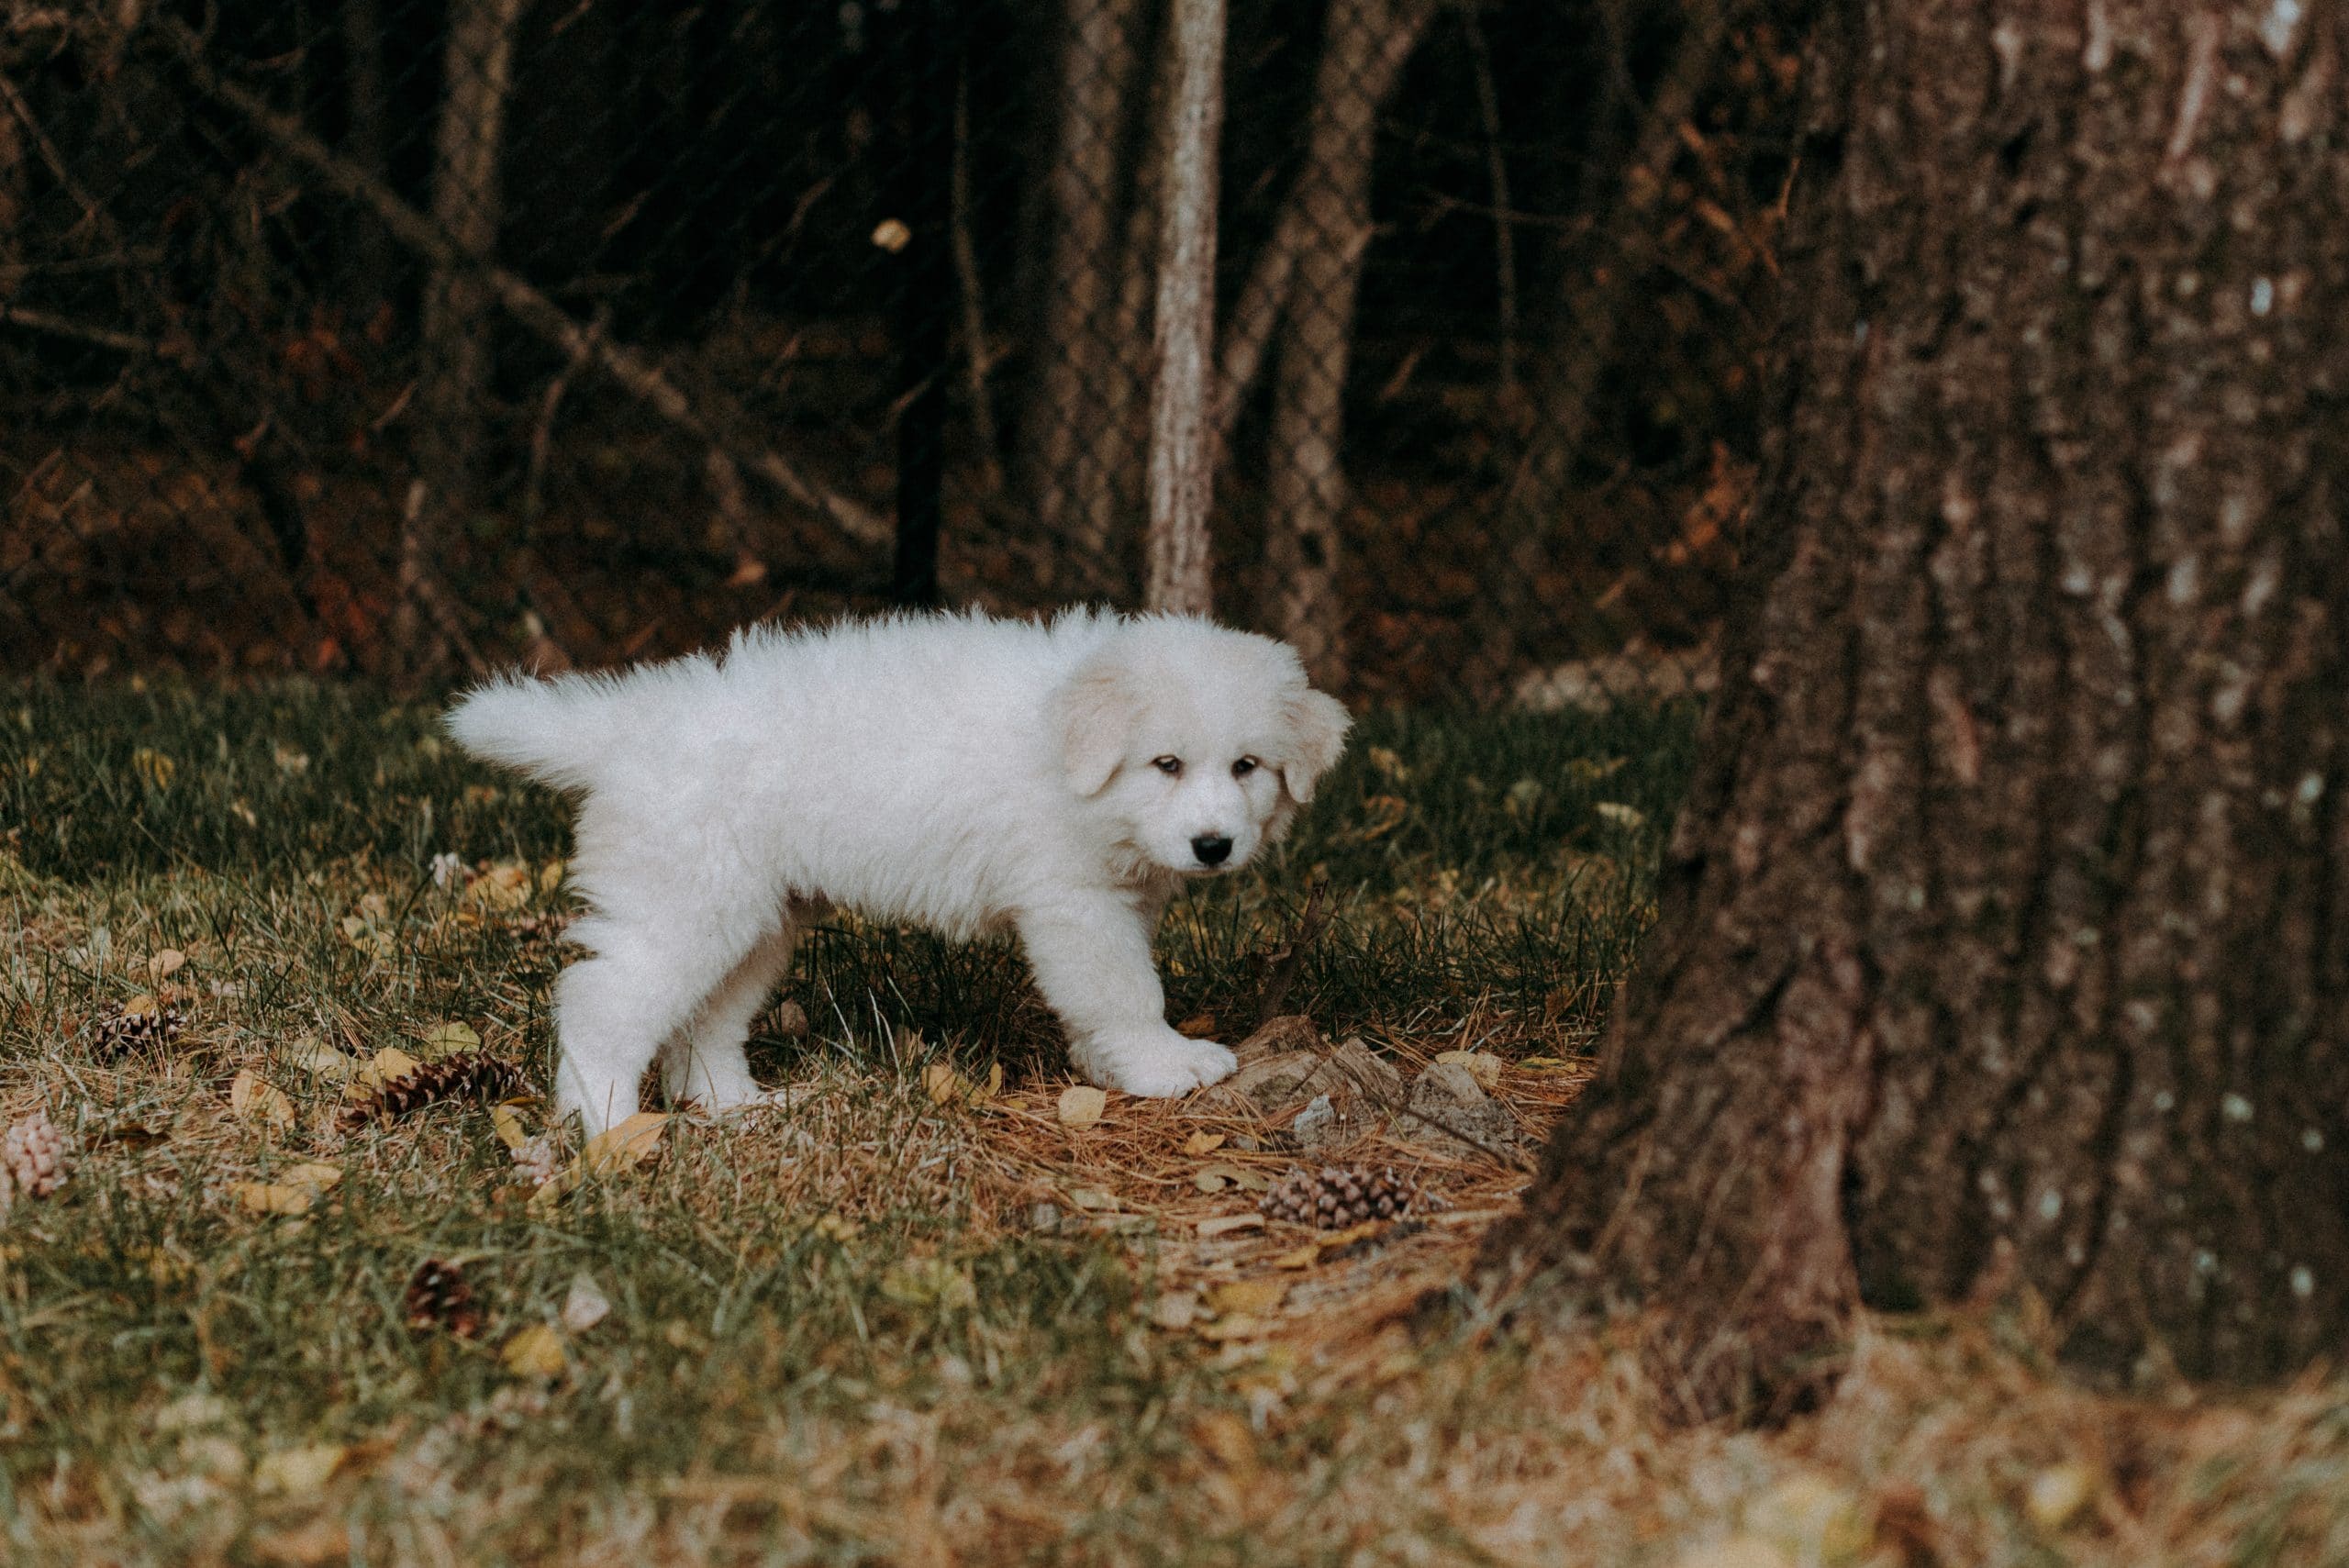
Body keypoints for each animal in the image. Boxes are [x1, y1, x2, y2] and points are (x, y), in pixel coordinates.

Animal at [448, 606, 1353, 1131]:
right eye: (1166, 763)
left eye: (1246, 766)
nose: (1213, 846)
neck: (1064, 745)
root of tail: (624, 729)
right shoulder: (1075, 901)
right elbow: (1126, 991)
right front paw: (1168, 1065)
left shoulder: (1120, 900)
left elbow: (1107, 998)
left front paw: (1112, 1066)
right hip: (688, 900)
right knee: (602, 1000)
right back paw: (607, 1128)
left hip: (755, 917)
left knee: (707, 1020)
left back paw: (736, 1103)